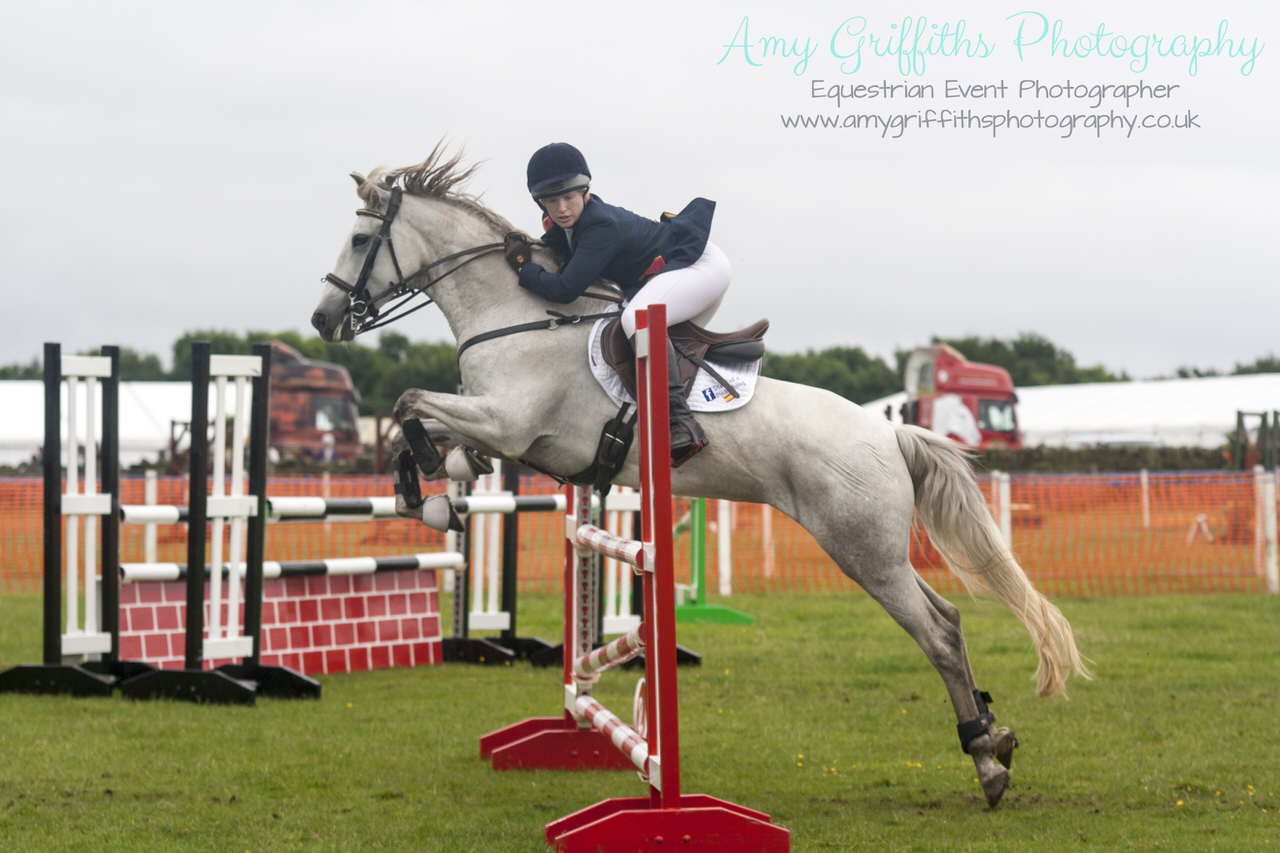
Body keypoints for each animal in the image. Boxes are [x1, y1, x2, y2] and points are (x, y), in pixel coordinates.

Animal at [309, 144, 1090, 804]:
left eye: (359, 241)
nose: (322, 319)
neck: (518, 316)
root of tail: (888, 432)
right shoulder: (493, 424)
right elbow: (421, 426)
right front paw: (434, 491)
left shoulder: (508, 422)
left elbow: (410, 404)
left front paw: (433, 492)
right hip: (874, 549)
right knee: (948, 619)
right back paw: (993, 739)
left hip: (861, 548)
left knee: (938, 632)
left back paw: (986, 759)